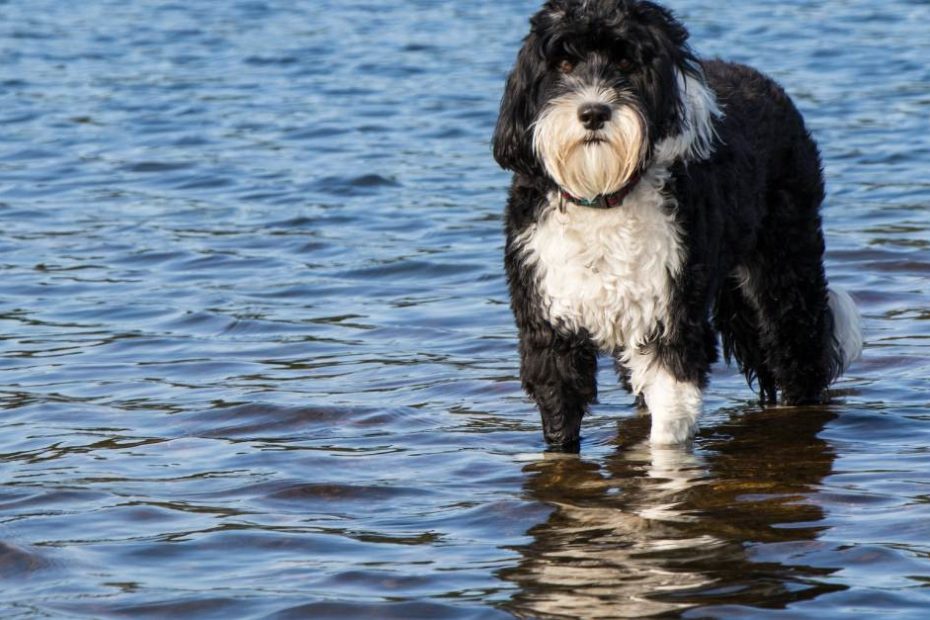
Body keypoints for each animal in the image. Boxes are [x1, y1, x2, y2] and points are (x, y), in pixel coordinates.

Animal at [492, 0, 864, 448]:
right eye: (563, 63)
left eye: (626, 61)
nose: (594, 112)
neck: (604, 195)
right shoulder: (550, 329)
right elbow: (561, 418)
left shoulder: (671, 321)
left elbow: (667, 428)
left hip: (784, 269)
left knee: (798, 351)